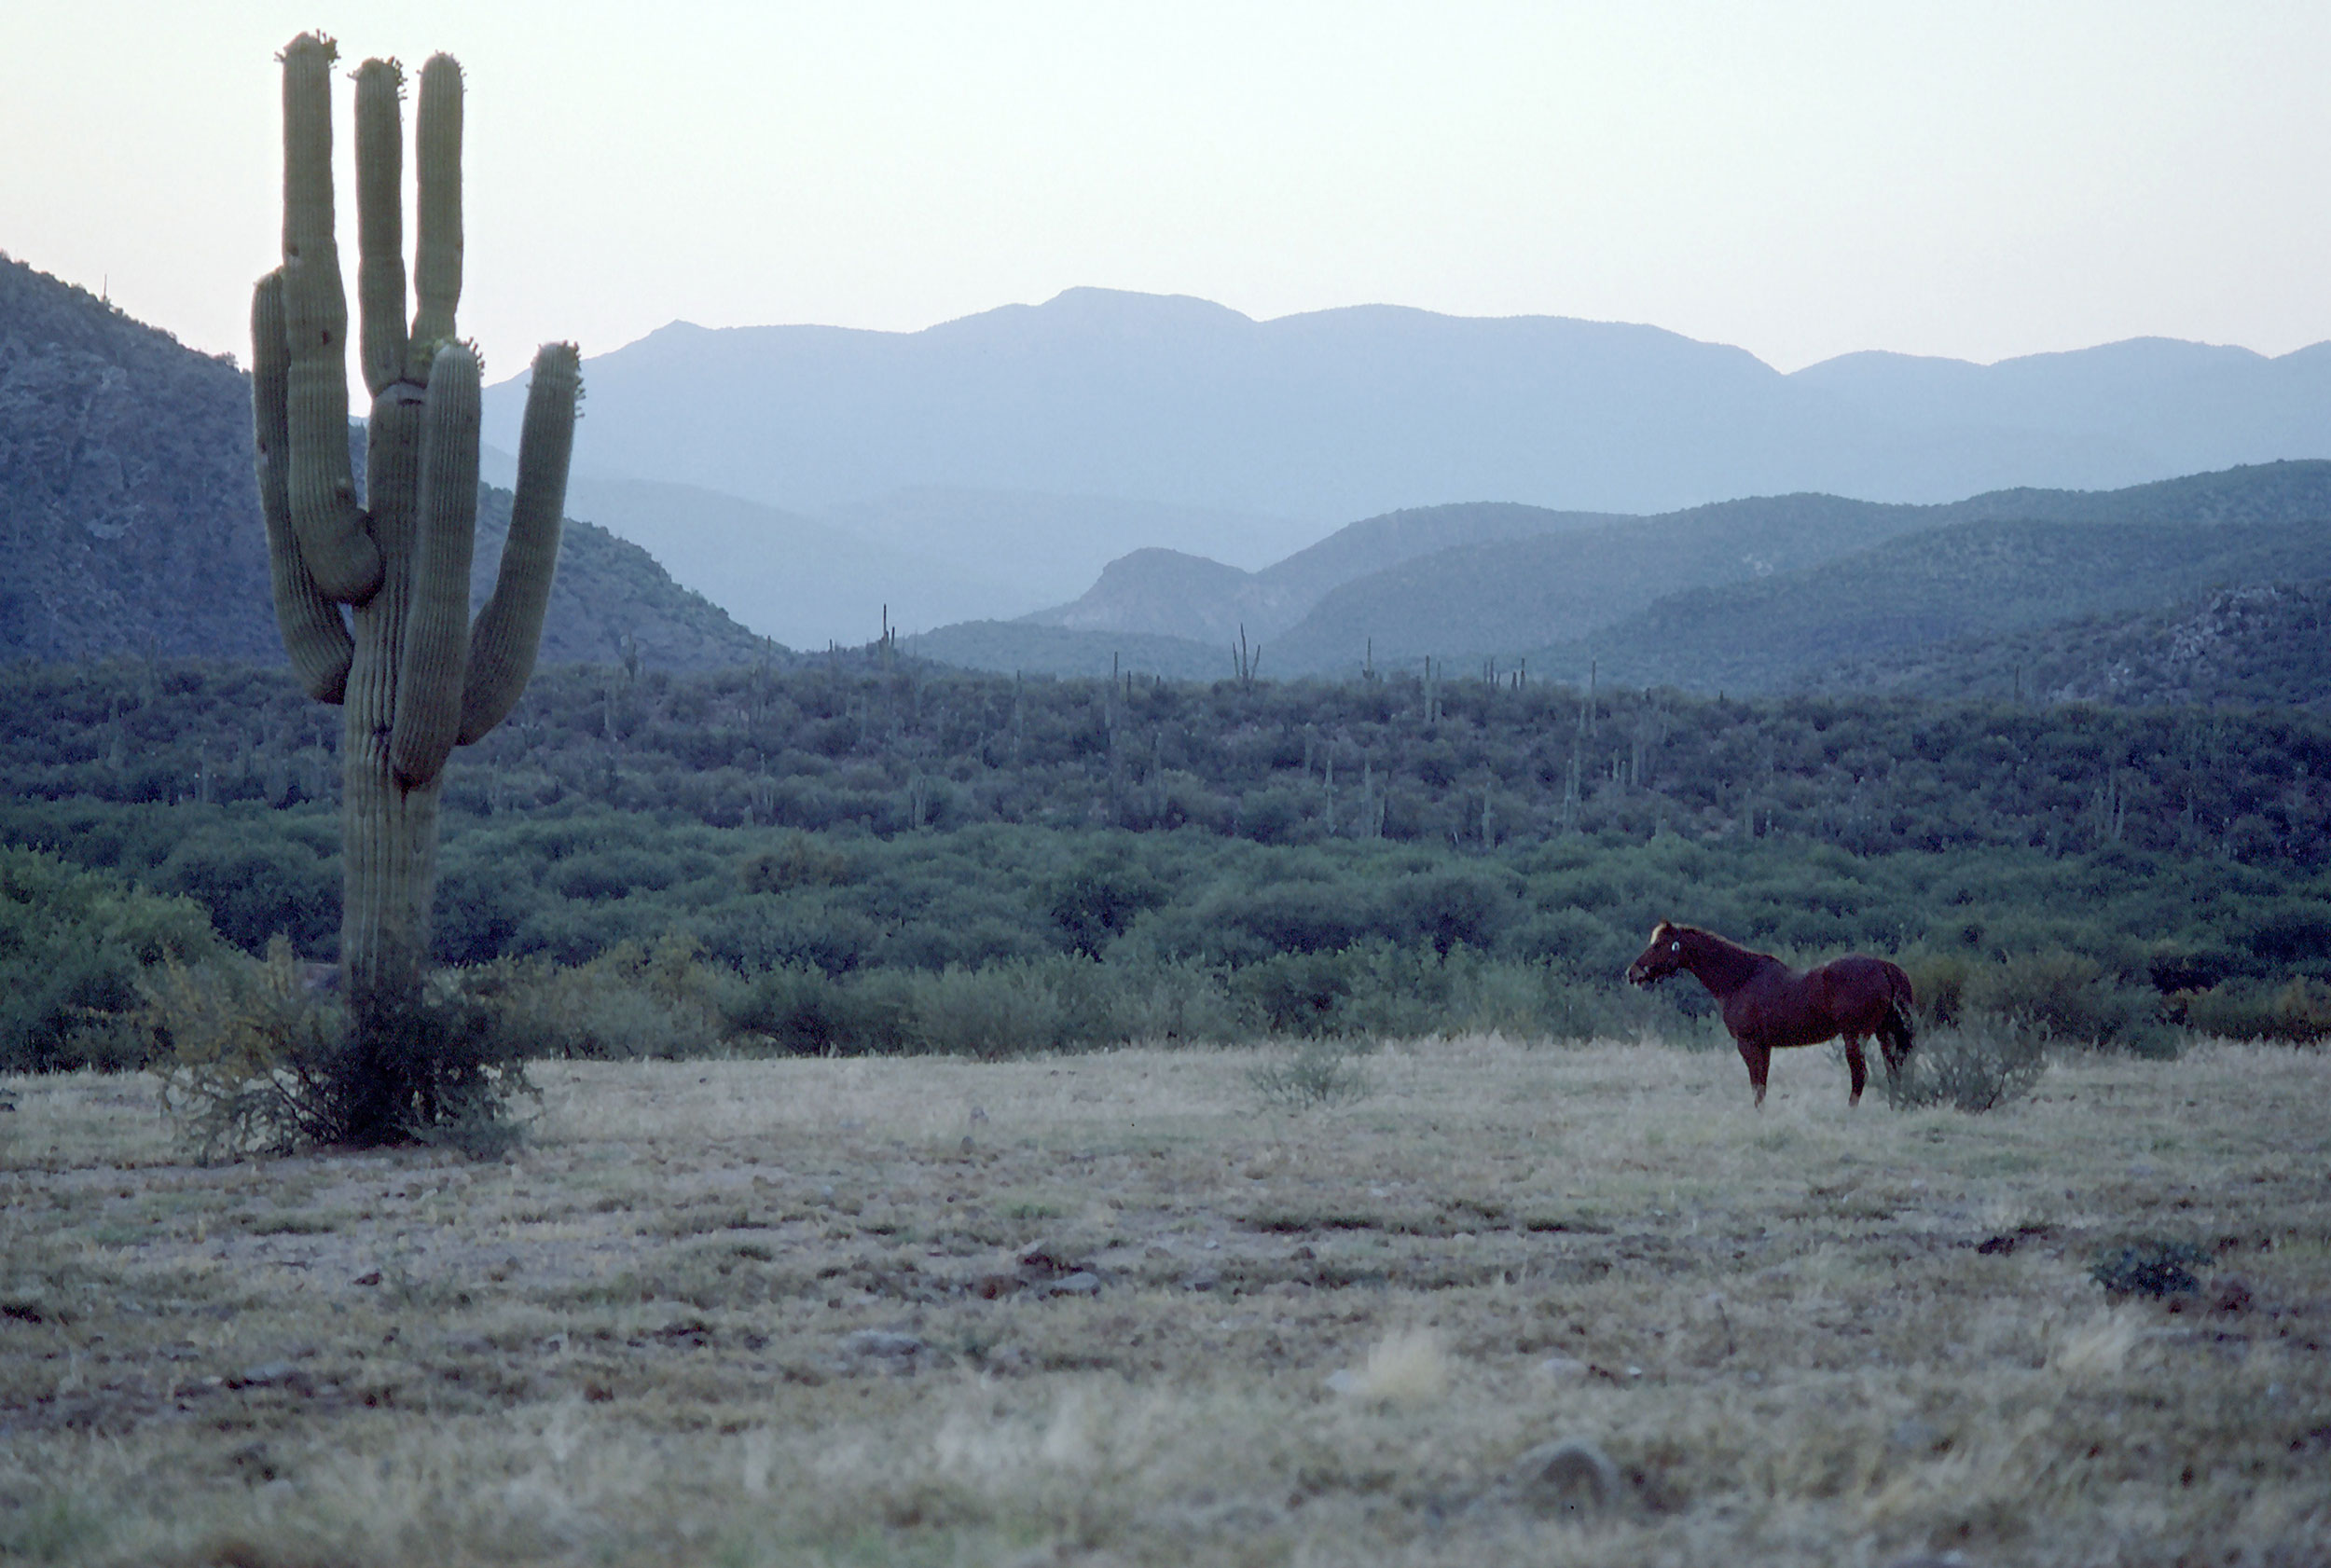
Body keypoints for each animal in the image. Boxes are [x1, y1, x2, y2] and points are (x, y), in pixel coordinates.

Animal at [1632, 922, 1921, 1108]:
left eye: (1659, 945)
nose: (1632, 973)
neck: (1740, 979)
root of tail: (1883, 967)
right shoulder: (1764, 1046)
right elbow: (1762, 1086)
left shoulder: (1748, 1044)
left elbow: (1756, 1087)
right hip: (1885, 1034)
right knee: (1894, 1072)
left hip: (1855, 1037)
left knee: (1861, 1077)